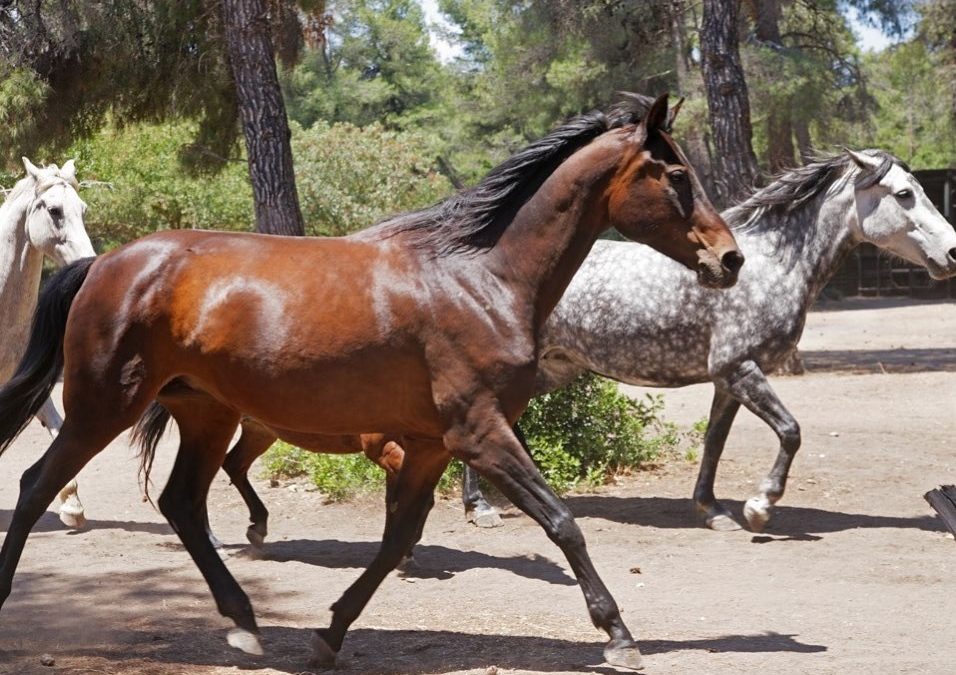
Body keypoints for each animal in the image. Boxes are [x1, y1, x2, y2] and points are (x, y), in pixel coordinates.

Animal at [0, 157, 94, 528]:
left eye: (82, 209)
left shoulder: (26, 383)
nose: (89, 262)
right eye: (54, 210)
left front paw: (72, 505)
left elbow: (55, 425)